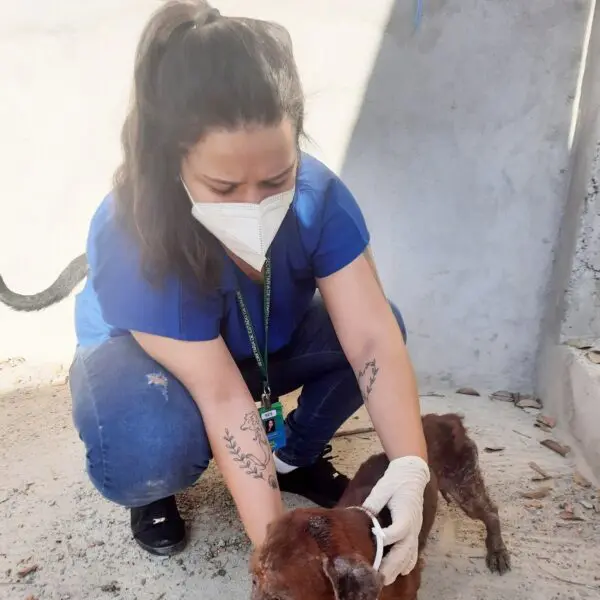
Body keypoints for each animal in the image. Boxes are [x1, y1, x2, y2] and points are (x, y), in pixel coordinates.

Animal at [251, 412, 508, 600]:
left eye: (280, 599)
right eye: (253, 580)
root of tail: (446, 417)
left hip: (463, 485)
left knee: (491, 512)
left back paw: (498, 552)